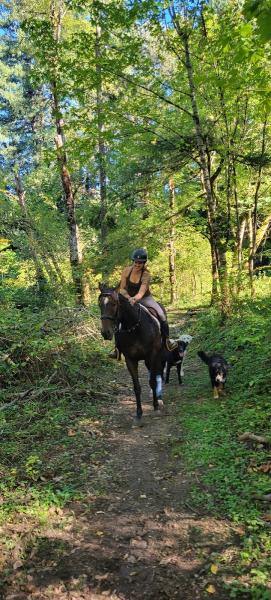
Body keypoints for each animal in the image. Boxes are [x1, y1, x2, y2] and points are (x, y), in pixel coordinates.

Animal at [99, 284, 165, 418]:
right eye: (100, 305)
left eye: (114, 304)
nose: (105, 333)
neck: (135, 328)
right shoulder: (130, 360)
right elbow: (136, 387)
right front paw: (139, 412)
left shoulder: (152, 356)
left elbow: (152, 381)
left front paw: (155, 406)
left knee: (158, 373)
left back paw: (159, 399)